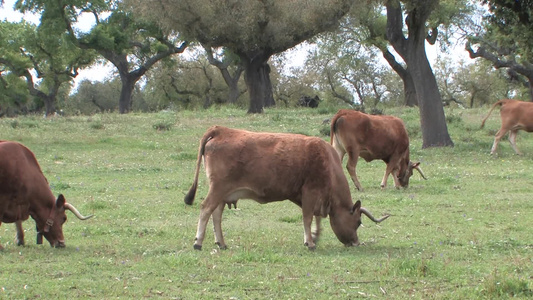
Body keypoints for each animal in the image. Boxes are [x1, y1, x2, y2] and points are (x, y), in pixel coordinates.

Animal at [183, 125, 386, 251]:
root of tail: (222, 130)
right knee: (206, 209)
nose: (356, 243)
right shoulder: (310, 192)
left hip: (224, 193)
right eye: (358, 222)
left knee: (216, 214)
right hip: (218, 188)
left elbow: (315, 218)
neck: (327, 161)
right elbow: (307, 217)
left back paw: (221, 243)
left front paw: (314, 236)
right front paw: (310, 242)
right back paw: (198, 242)